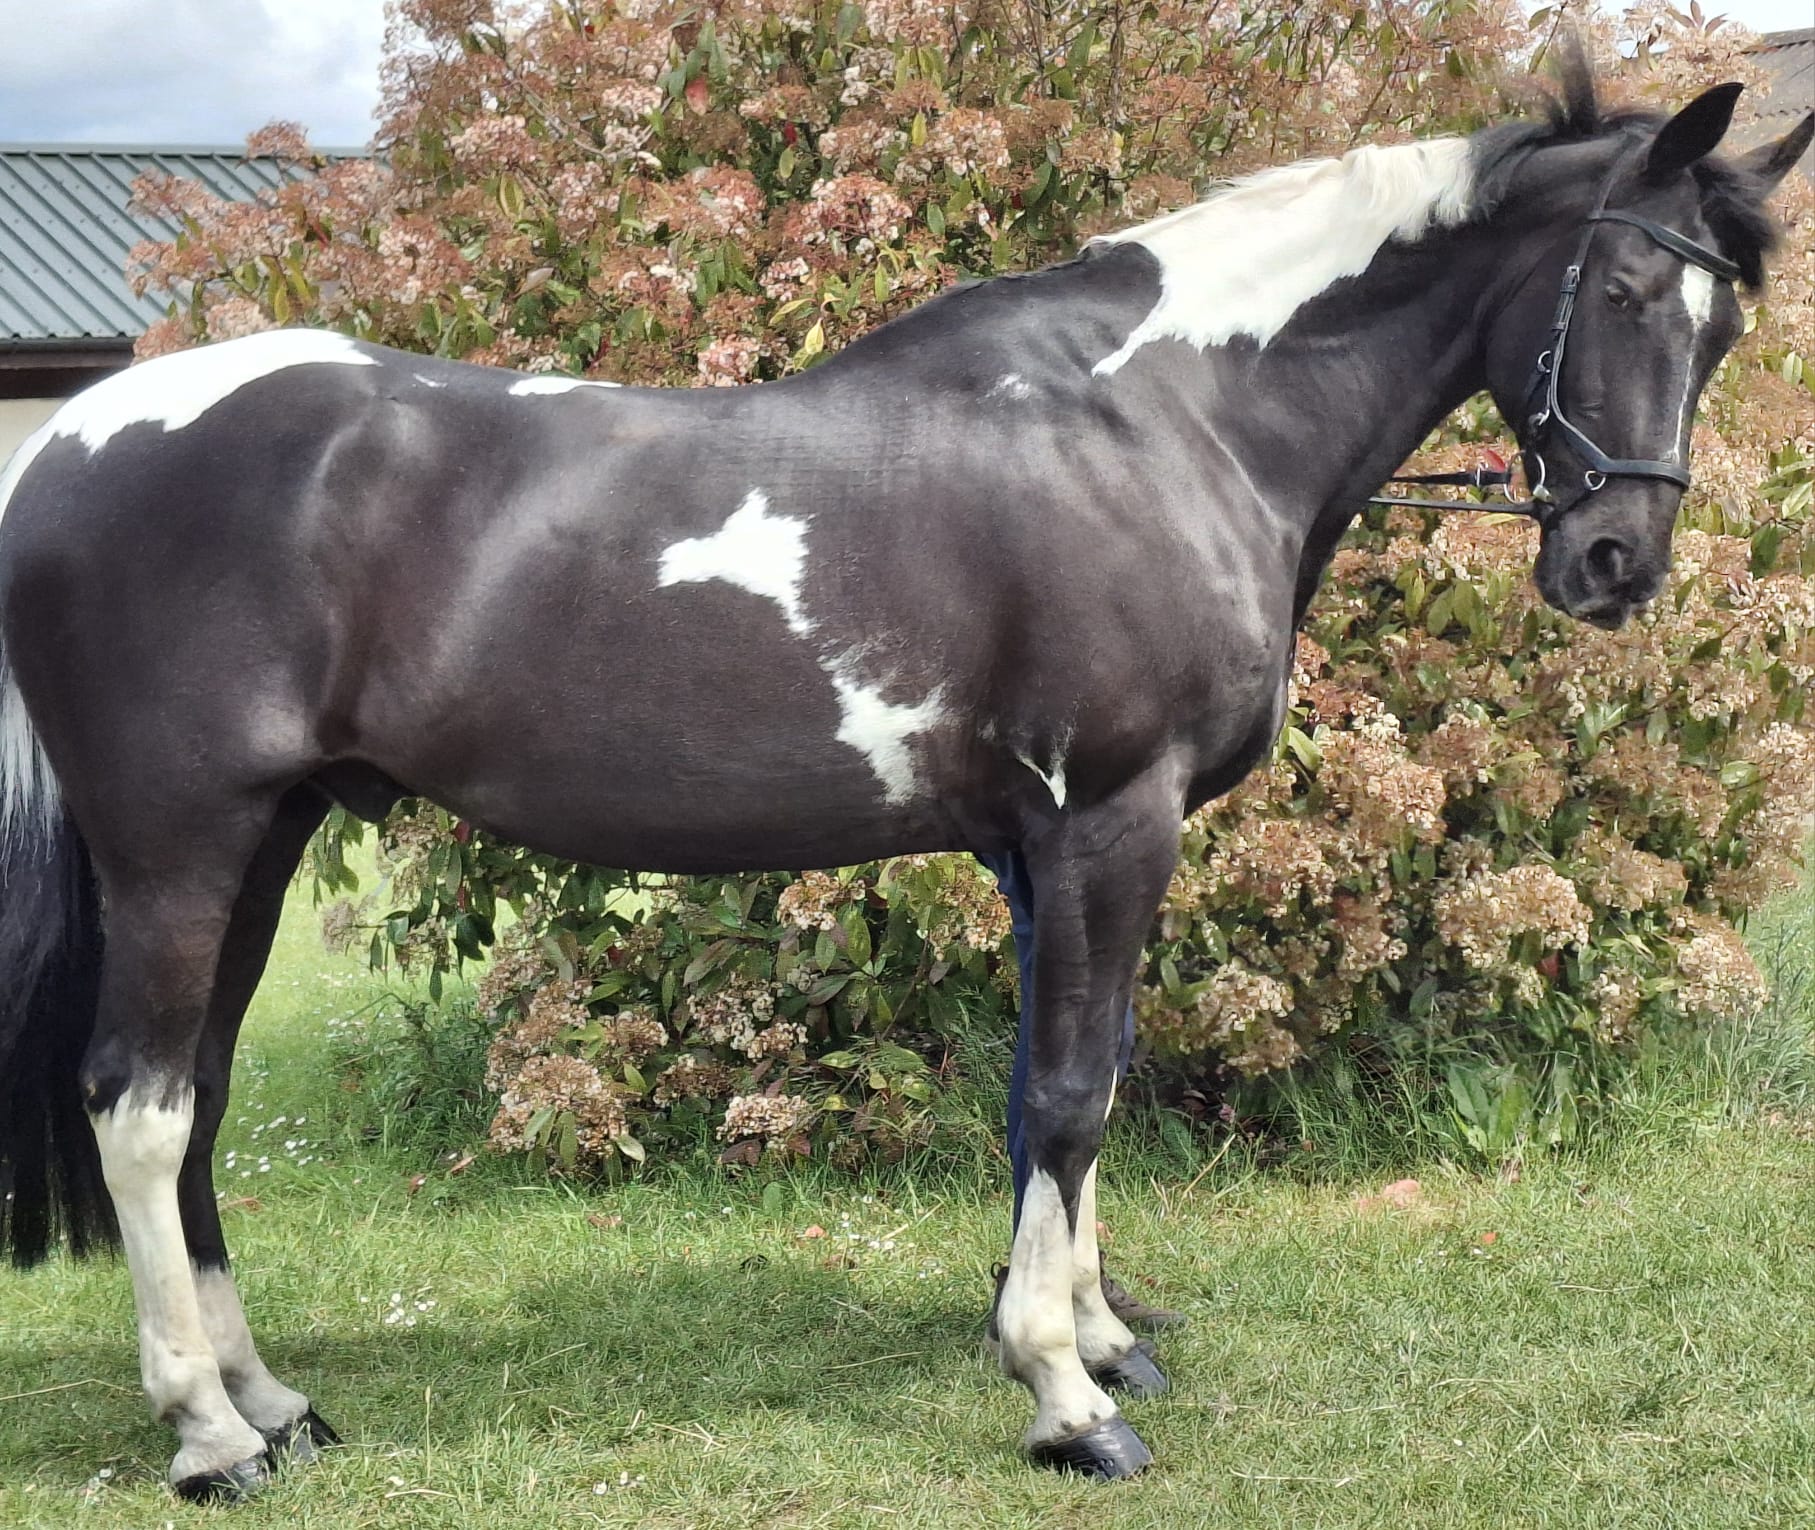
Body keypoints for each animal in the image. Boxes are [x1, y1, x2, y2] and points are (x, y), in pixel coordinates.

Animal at [1, 52, 1808, 1495]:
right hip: (180, 846)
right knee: (143, 1107)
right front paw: (1068, 1396)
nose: (1615, 561)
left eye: (1723, 323)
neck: (1166, 420)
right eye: (1624, 290)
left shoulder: (1035, 848)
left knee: (196, 1102)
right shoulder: (1108, 820)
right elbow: (1073, 1094)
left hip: (262, 839)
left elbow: (1059, 1085)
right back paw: (209, 1435)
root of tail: (71, 444)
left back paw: (272, 1402)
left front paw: (1100, 1333)